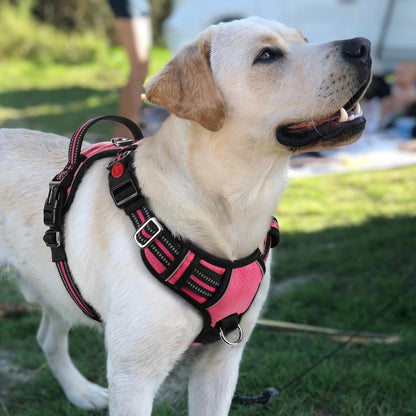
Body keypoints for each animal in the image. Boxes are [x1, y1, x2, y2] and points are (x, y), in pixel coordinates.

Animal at [0, 17, 370, 416]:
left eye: (304, 38)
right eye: (267, 55)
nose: (363, 46)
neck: (228, 213)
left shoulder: (221, 359)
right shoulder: (133, 376)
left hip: (53, 289)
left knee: (47, 338)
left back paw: (80, 392)